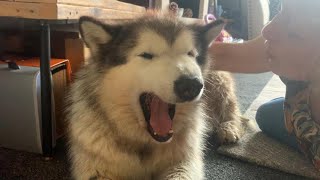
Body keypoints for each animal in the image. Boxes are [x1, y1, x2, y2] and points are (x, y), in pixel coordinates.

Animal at [66, 13, 244, 179]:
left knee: (231, 109)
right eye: (147, 55)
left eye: (190, 54)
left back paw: (228, 128)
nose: (191, 85)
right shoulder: (95, 167)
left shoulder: (185, 162)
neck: (144, 143)